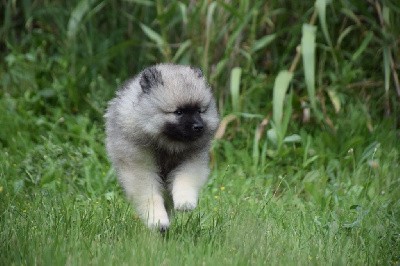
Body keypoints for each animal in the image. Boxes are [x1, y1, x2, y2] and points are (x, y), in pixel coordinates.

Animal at [104, 63, 220, 230]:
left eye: (199, 111)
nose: (199, 127)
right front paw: (157, 220)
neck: (168, 144)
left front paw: (185, 202)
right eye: (179, 112)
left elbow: (185, 178)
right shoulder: (140, 166)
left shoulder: (192, 159)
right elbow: (150, 195)